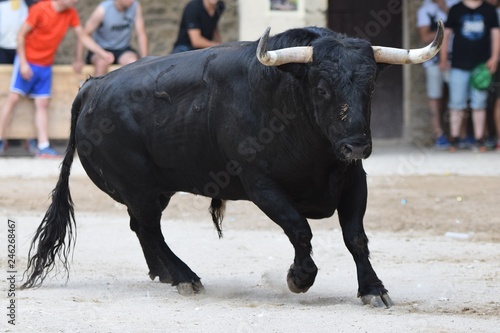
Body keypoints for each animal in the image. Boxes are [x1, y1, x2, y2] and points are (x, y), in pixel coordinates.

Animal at [21, 24, 442, 308]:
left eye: (369, 87)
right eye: (322, 88)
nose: (356, 144)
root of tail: (92, 87)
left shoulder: (354, 180)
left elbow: (355, 237)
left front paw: (373, 289)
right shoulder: (262, 185)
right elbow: (300, 229)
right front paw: (299, 278)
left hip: (153, 190)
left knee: (141, 227)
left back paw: (163, 273)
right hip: (137, 186)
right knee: (150, 228)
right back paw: (185, 277)